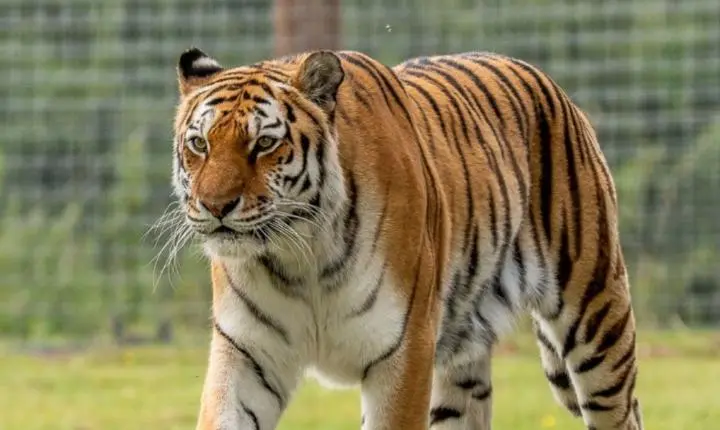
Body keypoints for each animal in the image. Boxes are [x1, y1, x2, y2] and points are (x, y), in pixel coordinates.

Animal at [170, 46, 644, 430]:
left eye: (264, 144)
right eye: (200, 144)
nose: (215, 205)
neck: (299, 258)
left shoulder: (403, 350)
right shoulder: (247, 352)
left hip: (596, 315)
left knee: (623, 411)